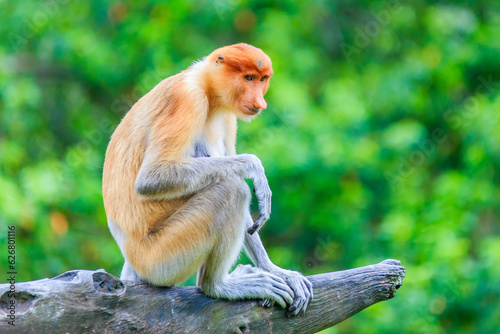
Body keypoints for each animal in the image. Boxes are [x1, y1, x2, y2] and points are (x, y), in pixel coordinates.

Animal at [101, 43, 312, 314]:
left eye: (262, 79)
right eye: (248, 78)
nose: (260, 102)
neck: (207, 90)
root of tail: (131, 257)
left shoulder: (229, 116)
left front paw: (276, 270)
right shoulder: (187, 99)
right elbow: (152, 178)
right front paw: (255, 168)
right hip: (161, 258)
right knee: (232, 190)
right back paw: (218, 285)